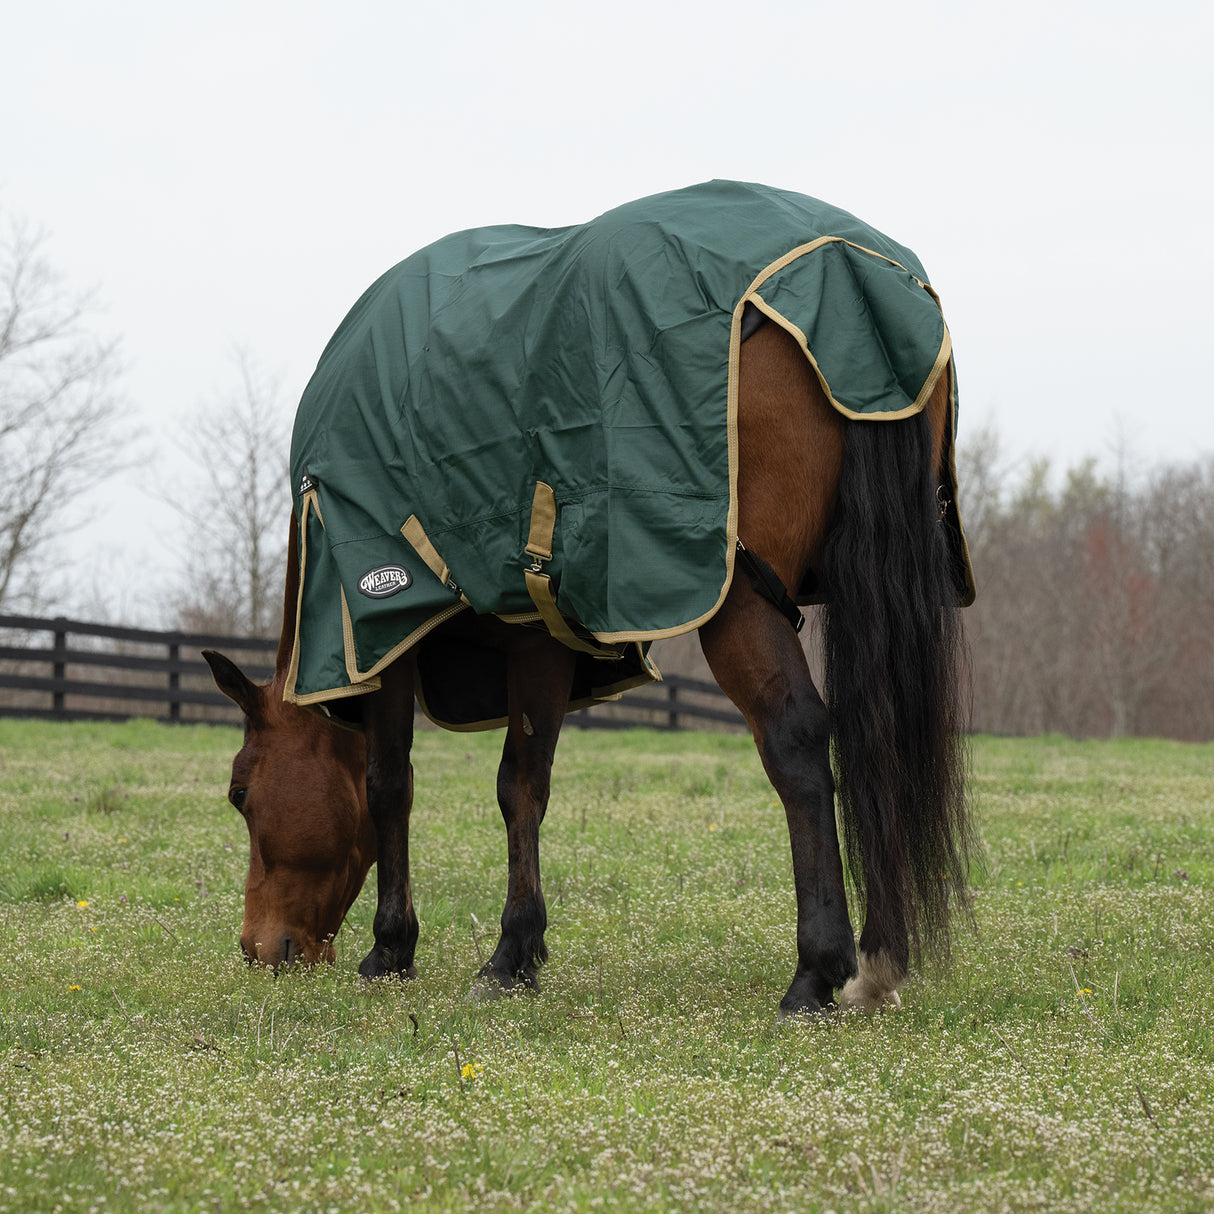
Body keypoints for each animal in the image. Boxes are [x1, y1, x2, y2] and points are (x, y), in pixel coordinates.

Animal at [204, 185, 974, 1016]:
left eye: (240, 793)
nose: (259, 948)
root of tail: (844, 267)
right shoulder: (537, 638)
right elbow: (522, 788)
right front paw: (514, 953)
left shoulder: (379, 631)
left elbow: (389, 786)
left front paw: (391, 949)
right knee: (880, 732)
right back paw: (880, 961)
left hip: (736, 602)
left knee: (796, 742)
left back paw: (816, 971)